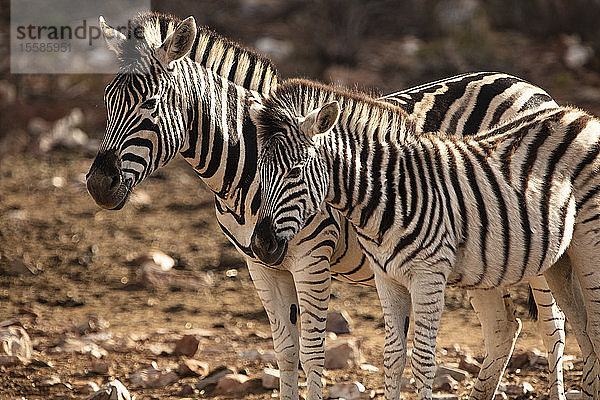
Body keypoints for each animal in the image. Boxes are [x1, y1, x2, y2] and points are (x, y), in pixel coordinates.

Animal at [250, 79, 600, 400]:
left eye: (295, 171)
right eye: (259, 172)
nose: (261, 245)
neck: (389, 195)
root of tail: (582, 115)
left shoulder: (428, 276)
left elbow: (423, 360)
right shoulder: (386, 278)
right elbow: (392, 357)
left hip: (589, 247)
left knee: (585, 327)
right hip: (561, 260)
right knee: (582, 329)